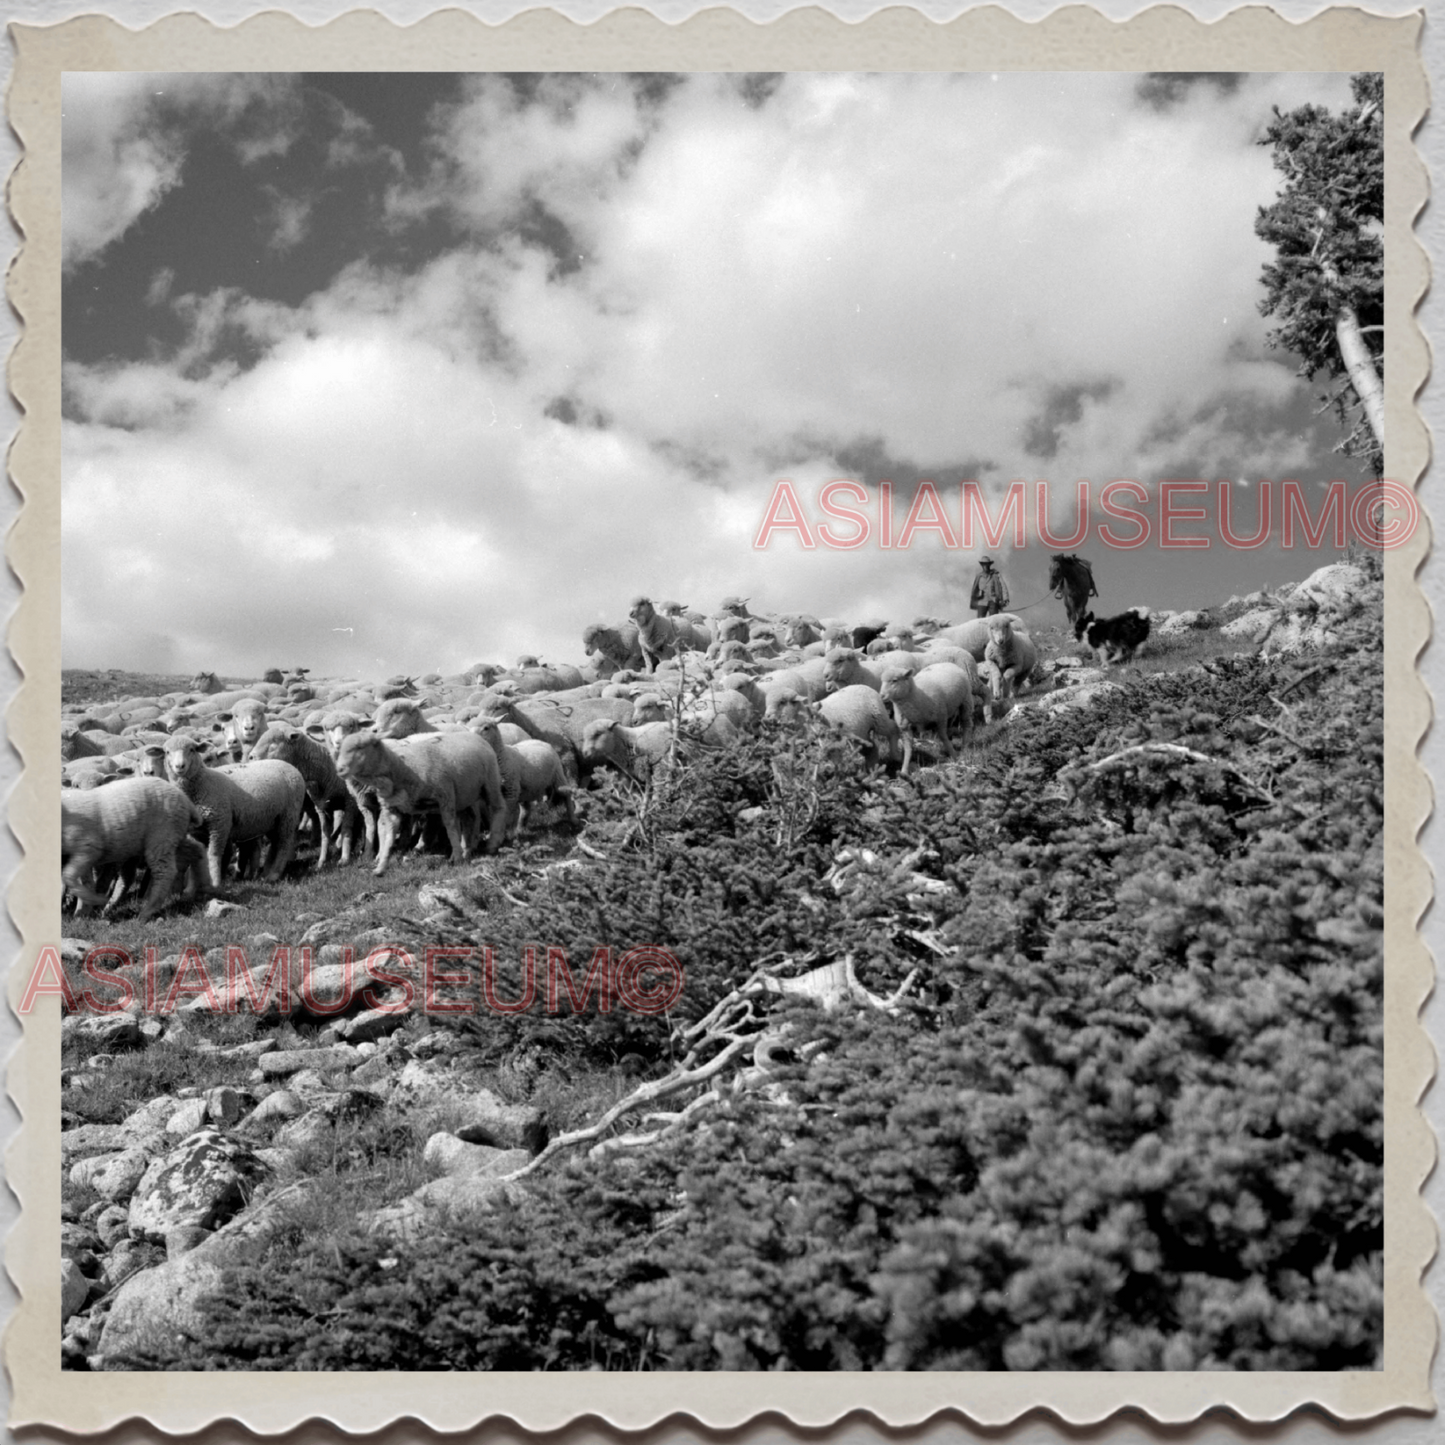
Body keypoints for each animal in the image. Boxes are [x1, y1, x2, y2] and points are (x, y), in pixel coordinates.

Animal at [61, 774, 208, 919]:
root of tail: (186, 801)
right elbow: (79, 880)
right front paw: (82, 910)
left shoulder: (87, 847)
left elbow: (71, 877)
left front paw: (89, 904)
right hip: (174, 836)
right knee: (197, 849)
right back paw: (199, 887)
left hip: (161, 836)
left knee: (164, 872)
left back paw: (146, 912)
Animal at [249, 722, 359, 867]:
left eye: (274, 743)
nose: (250, 757)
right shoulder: (322, 807)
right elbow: (325, 833)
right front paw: (322, 861)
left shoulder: (350, 801)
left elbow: (346, 828)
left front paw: (344, 858)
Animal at [333, 728, 508, 872]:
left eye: (360, 747)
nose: (340, 769)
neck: (402, 768)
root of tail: (473, 734)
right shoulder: (392, 808)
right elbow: (388, 834)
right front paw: (381, 863)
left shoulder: (445, 797)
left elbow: (451, 828)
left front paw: (457, 858)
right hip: (465, 795)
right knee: (469, 819)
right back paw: (466, 849)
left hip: (490, 782)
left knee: (498, 808)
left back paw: (491, 844)